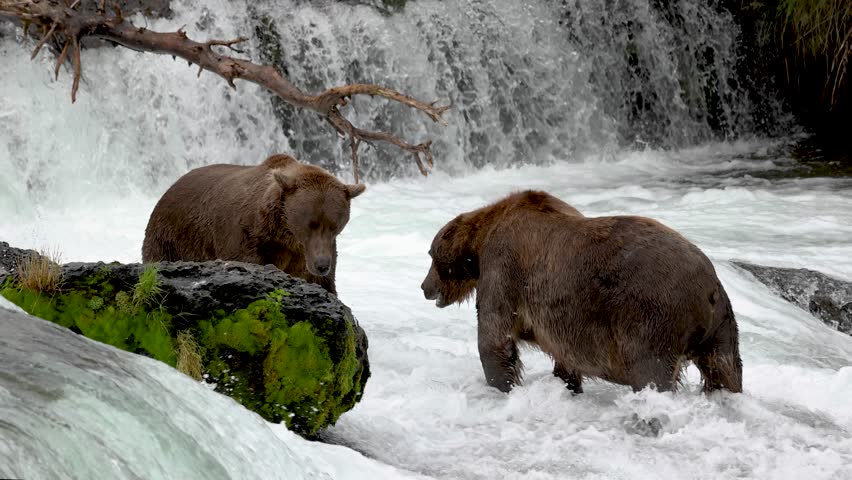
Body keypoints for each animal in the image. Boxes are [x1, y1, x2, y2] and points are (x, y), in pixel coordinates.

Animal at [142, 154, 365, 295]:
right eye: (310, 224)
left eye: (335, 226)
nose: (321, 265)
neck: (284, 235)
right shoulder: (247, 238)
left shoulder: (309, 254)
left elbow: (325, 284)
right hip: (171, 238)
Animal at [420, 190, 742, 395]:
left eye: (431, 255)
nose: (424, 287)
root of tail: (708, 285)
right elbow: (564, 357)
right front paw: (567, 383)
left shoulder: (504, 267)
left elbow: (494, 337)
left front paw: (501, 384)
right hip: (722, 325)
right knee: (725, 369)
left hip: (651, 314)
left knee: (651, 371)